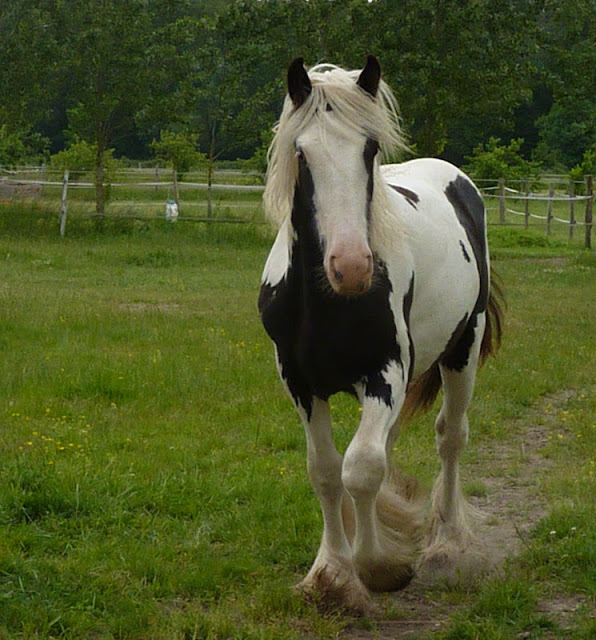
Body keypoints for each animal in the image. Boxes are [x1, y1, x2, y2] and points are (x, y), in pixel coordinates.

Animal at [258, 57, 506, 612]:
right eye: (301, 153)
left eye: (369, 149)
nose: (351, 267)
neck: (327, 302)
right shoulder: (298, 383)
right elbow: (327, 472)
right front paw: (330, 571)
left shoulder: (384, 372)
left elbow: (363, 467)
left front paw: (378, 566)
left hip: (463, 349)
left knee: (450, 438)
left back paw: (447, 544)